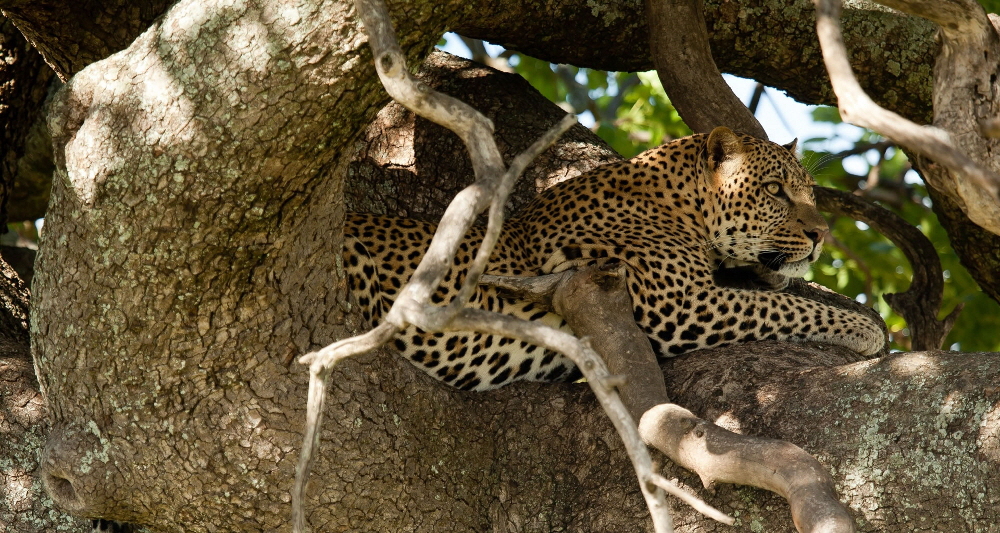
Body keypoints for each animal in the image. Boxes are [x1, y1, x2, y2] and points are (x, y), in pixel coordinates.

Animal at [345, 126, 886, 391]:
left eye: (810, 192)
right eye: (775, 190)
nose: (821, 234)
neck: (678, 203)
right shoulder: (677, 306)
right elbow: (786, 308)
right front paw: (865, 330)